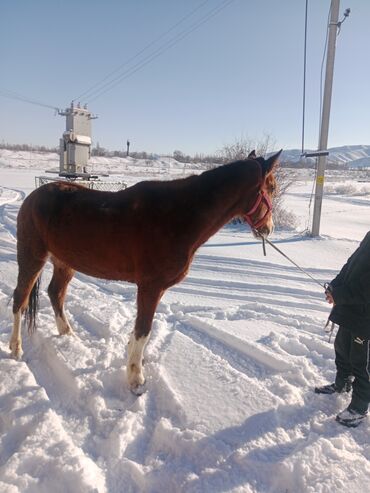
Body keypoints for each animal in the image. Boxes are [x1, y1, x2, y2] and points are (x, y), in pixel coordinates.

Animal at [10, 149, 280, 392]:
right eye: (272, 188)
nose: (268, 229)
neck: (180, 215)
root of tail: (32, 197)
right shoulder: (150, 286)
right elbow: (143, 329)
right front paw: (135, 379)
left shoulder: (155, 288)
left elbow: (140, 330)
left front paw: (133, 358)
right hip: (32, 257)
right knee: (20, 299)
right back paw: (16, 348)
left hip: (64, 262)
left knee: (55, 293)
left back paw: (67, 334)